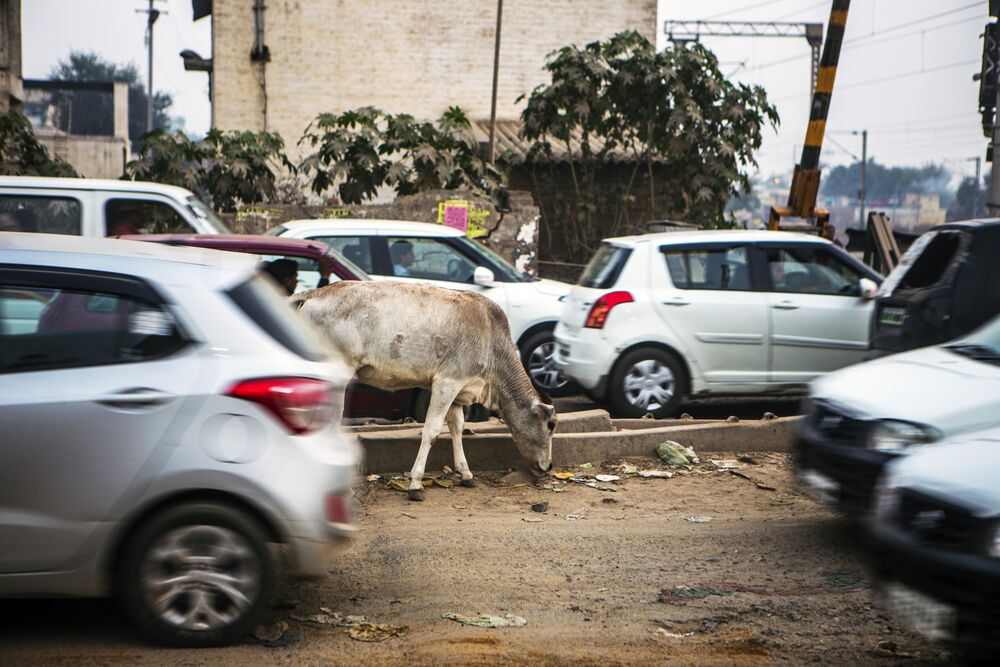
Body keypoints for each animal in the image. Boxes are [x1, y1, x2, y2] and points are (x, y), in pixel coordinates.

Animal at [292, 280, 560, 498]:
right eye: (551, 424)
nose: (548, 465)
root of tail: (315, 292)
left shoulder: (458, 389)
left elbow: (458, 427)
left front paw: (466, 474)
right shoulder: (446, 382)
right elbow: (431, 431)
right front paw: (415, 484)